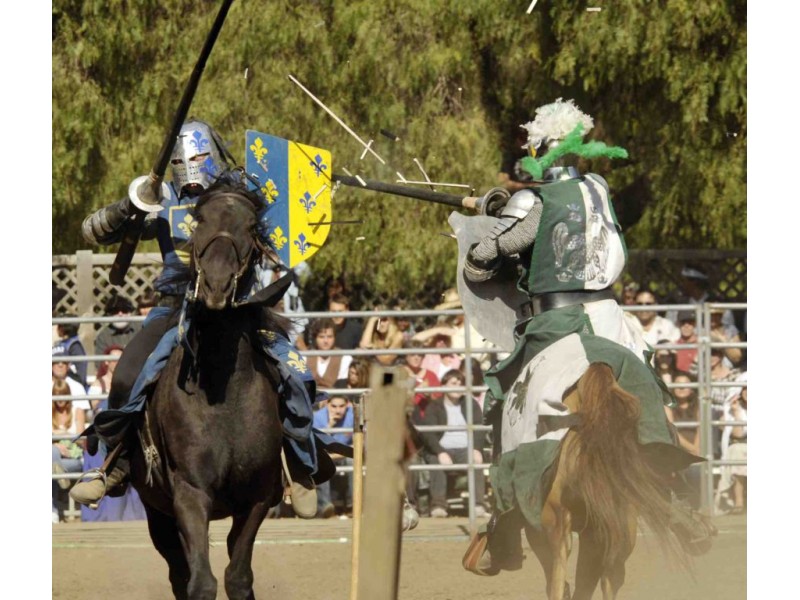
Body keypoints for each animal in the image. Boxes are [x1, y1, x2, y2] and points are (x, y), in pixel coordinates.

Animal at [131, 183, 290, 600]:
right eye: (200, 219)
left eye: (250, 226)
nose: (217, 284)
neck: (222, 396)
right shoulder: (189, 494)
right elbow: (201, 581)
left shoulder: (257, 497)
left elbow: (238, 575)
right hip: (157, 512)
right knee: (179, 571)